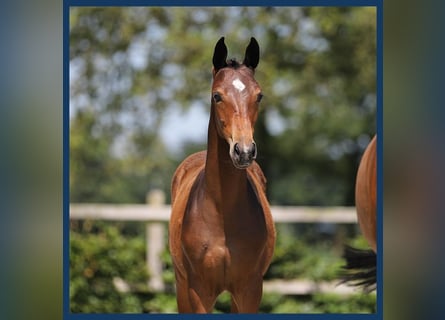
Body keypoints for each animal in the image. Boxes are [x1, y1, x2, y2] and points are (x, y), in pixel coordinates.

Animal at [169, 37, 276, 312]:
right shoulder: (199, 291)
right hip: (181, 285)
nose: (244, 151)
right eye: (217, 96)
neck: (222, 214)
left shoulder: (250, 289)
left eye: (259, 95)